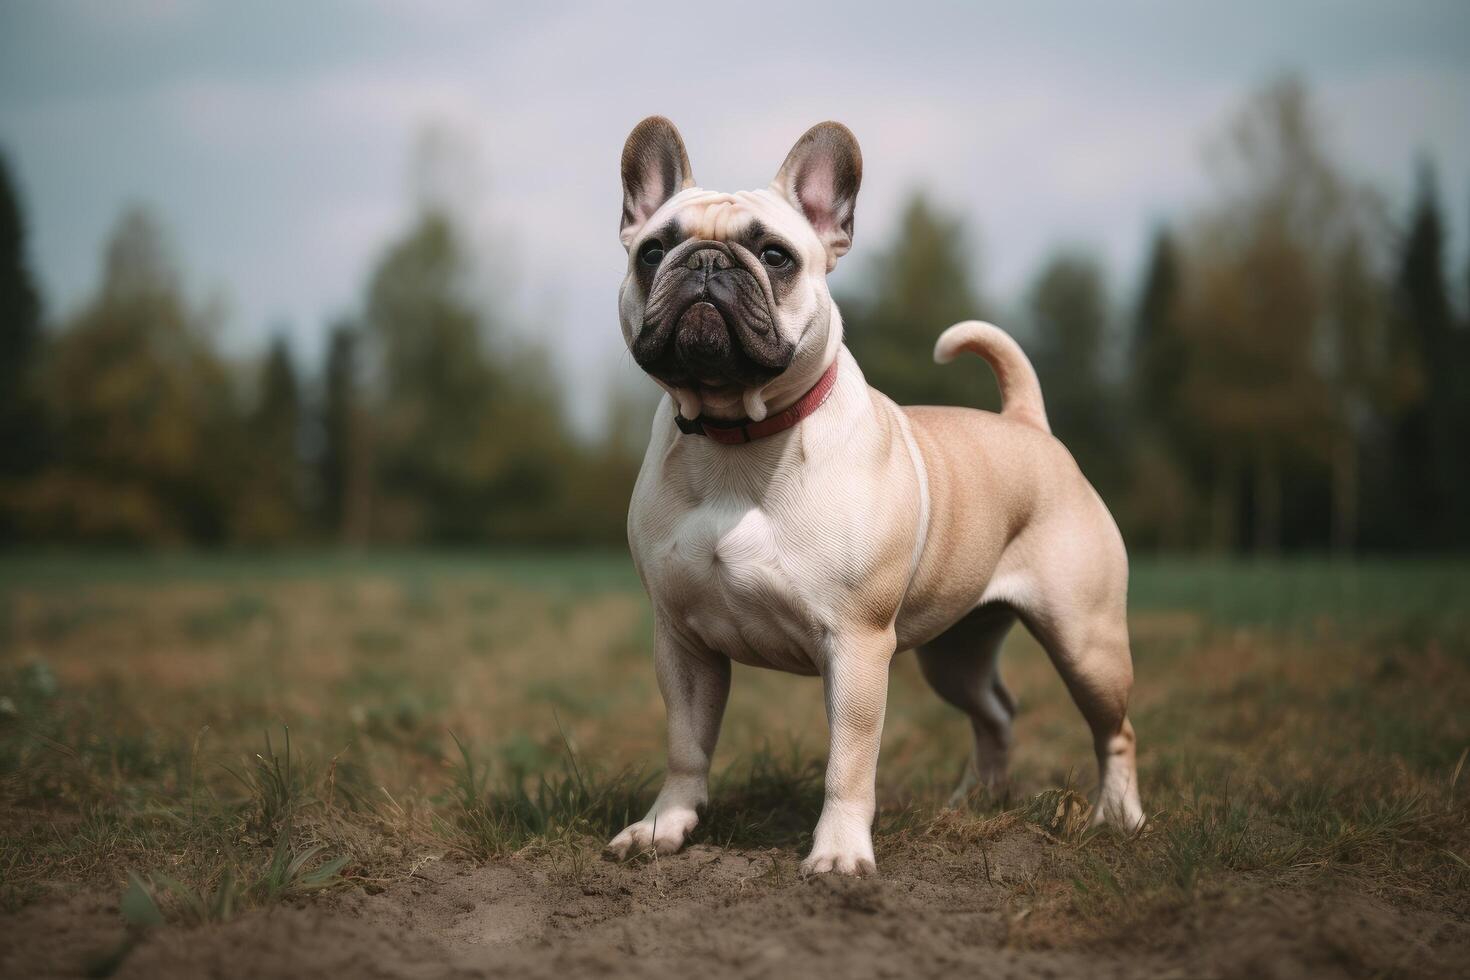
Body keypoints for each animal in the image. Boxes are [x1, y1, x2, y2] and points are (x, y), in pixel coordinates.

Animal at [602, 119, 1140, 875]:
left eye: (774, 255)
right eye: (653, 251)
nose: (705, 261)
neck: (738, 435)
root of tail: (1027, 424)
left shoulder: (855, 644)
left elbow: (849, 762)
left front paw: (839, 853)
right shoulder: (681, 641)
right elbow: (686, 744)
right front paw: (664, 827)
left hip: (1085, 639)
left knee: (1114, 729)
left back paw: (1119, 816)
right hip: (955, 652)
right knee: (995, 712)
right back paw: (975, 802)